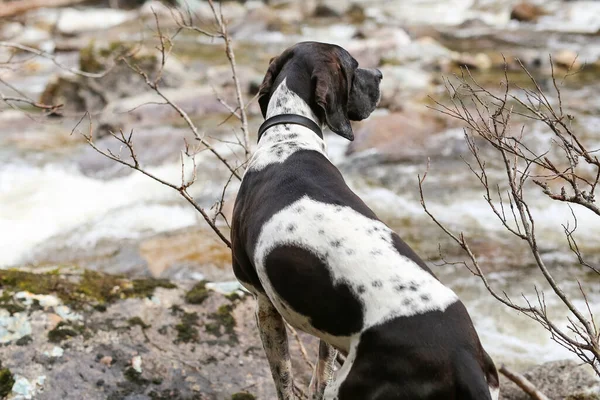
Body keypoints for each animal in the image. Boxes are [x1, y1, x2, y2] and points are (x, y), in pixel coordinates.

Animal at [232, 42, 500, 398]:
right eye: (355, 64)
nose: (380, 74)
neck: (288, 138)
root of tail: (463, 357)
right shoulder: (326, 327)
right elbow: (320, 370)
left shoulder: (263, 303)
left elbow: (284, 380)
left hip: (352, 387)